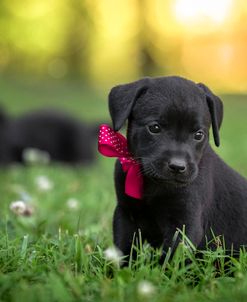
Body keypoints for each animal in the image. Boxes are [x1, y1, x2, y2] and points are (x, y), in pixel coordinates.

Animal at [108, 75, 247, 260]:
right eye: (154, 128)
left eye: (199, 135)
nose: (177, 166)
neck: (155, 184)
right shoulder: (125, 214)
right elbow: (123, 250)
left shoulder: (185, 225)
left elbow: (170, 260)